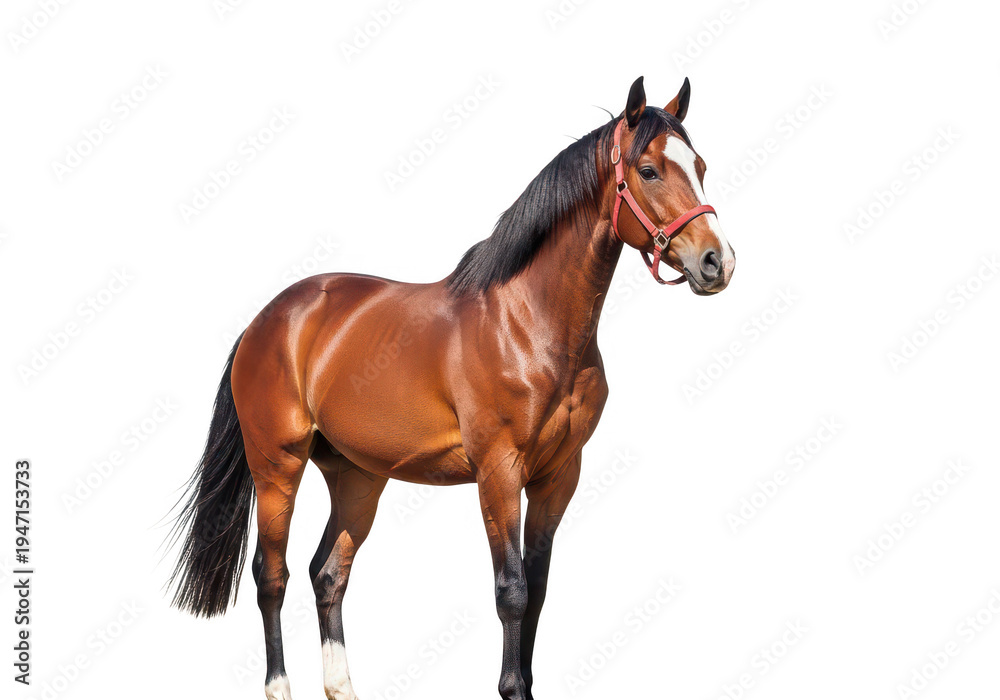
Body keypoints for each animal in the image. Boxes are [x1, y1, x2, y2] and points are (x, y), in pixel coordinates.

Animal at [167, 76, 736, 700]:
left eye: (700, 165)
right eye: (650, 170)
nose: (718, 261)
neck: (527, 323)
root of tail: (268, 319)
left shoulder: (559, 476)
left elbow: (537, 590)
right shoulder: (498, 471)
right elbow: (511, 591)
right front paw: (511, 688)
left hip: (357, 476)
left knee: (328, 574)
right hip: (277, 466)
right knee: (273, 577)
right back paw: (279, 686)